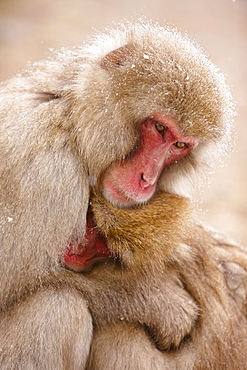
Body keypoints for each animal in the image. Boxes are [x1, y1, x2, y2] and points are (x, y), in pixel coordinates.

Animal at [0, 21, 246, 370]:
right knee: (59, 306)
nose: (147, 178)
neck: (72, 119)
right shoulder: (47, 176)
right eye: (159, 128)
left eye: (180, 145)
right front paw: (159, 303)